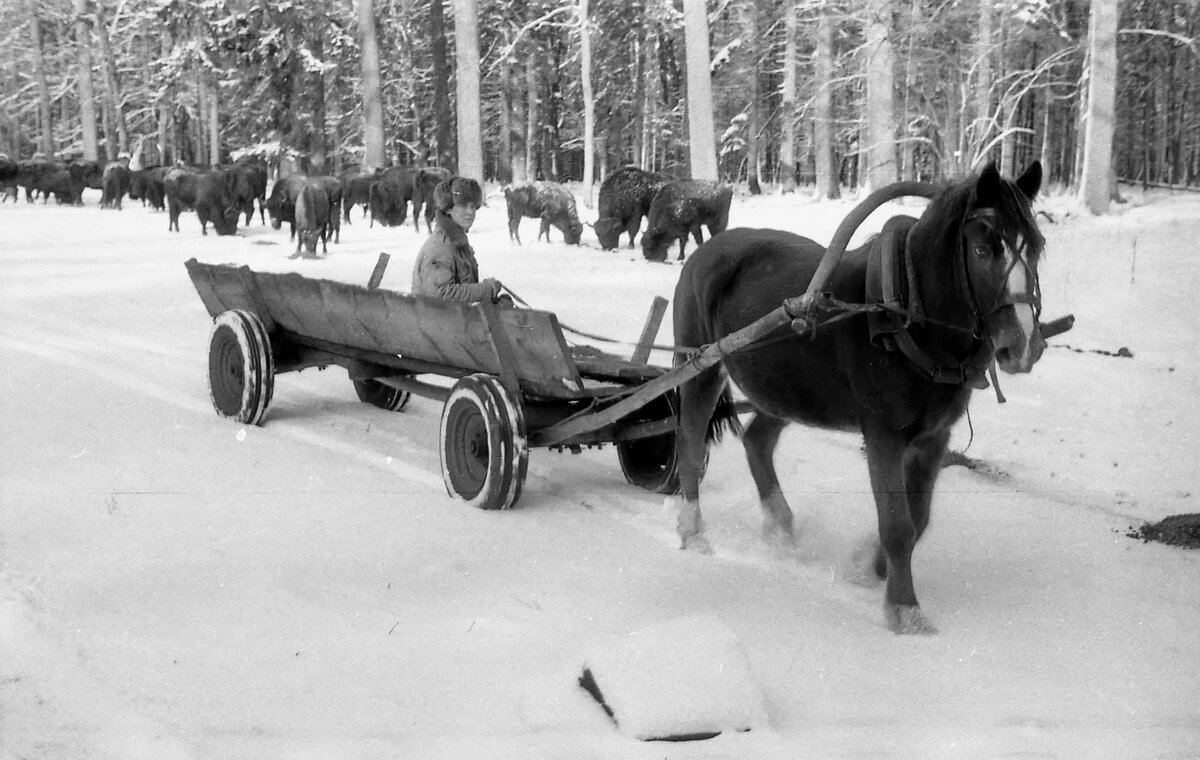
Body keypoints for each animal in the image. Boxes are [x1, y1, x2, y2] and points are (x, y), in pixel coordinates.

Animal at [672, 162, 1046, 633]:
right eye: (982, 250)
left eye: (1036, 248)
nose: (1023, 345)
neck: (907, 315)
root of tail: (705, 250)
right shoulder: (883, 434)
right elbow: (899, 526)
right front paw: (905, 610)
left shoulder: (933, 438)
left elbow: (917, 519)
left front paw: (868, 566)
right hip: (701, 367)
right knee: (690, 445)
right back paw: (693, 532)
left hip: (787, 388)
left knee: (757, 440)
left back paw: (780, 526)